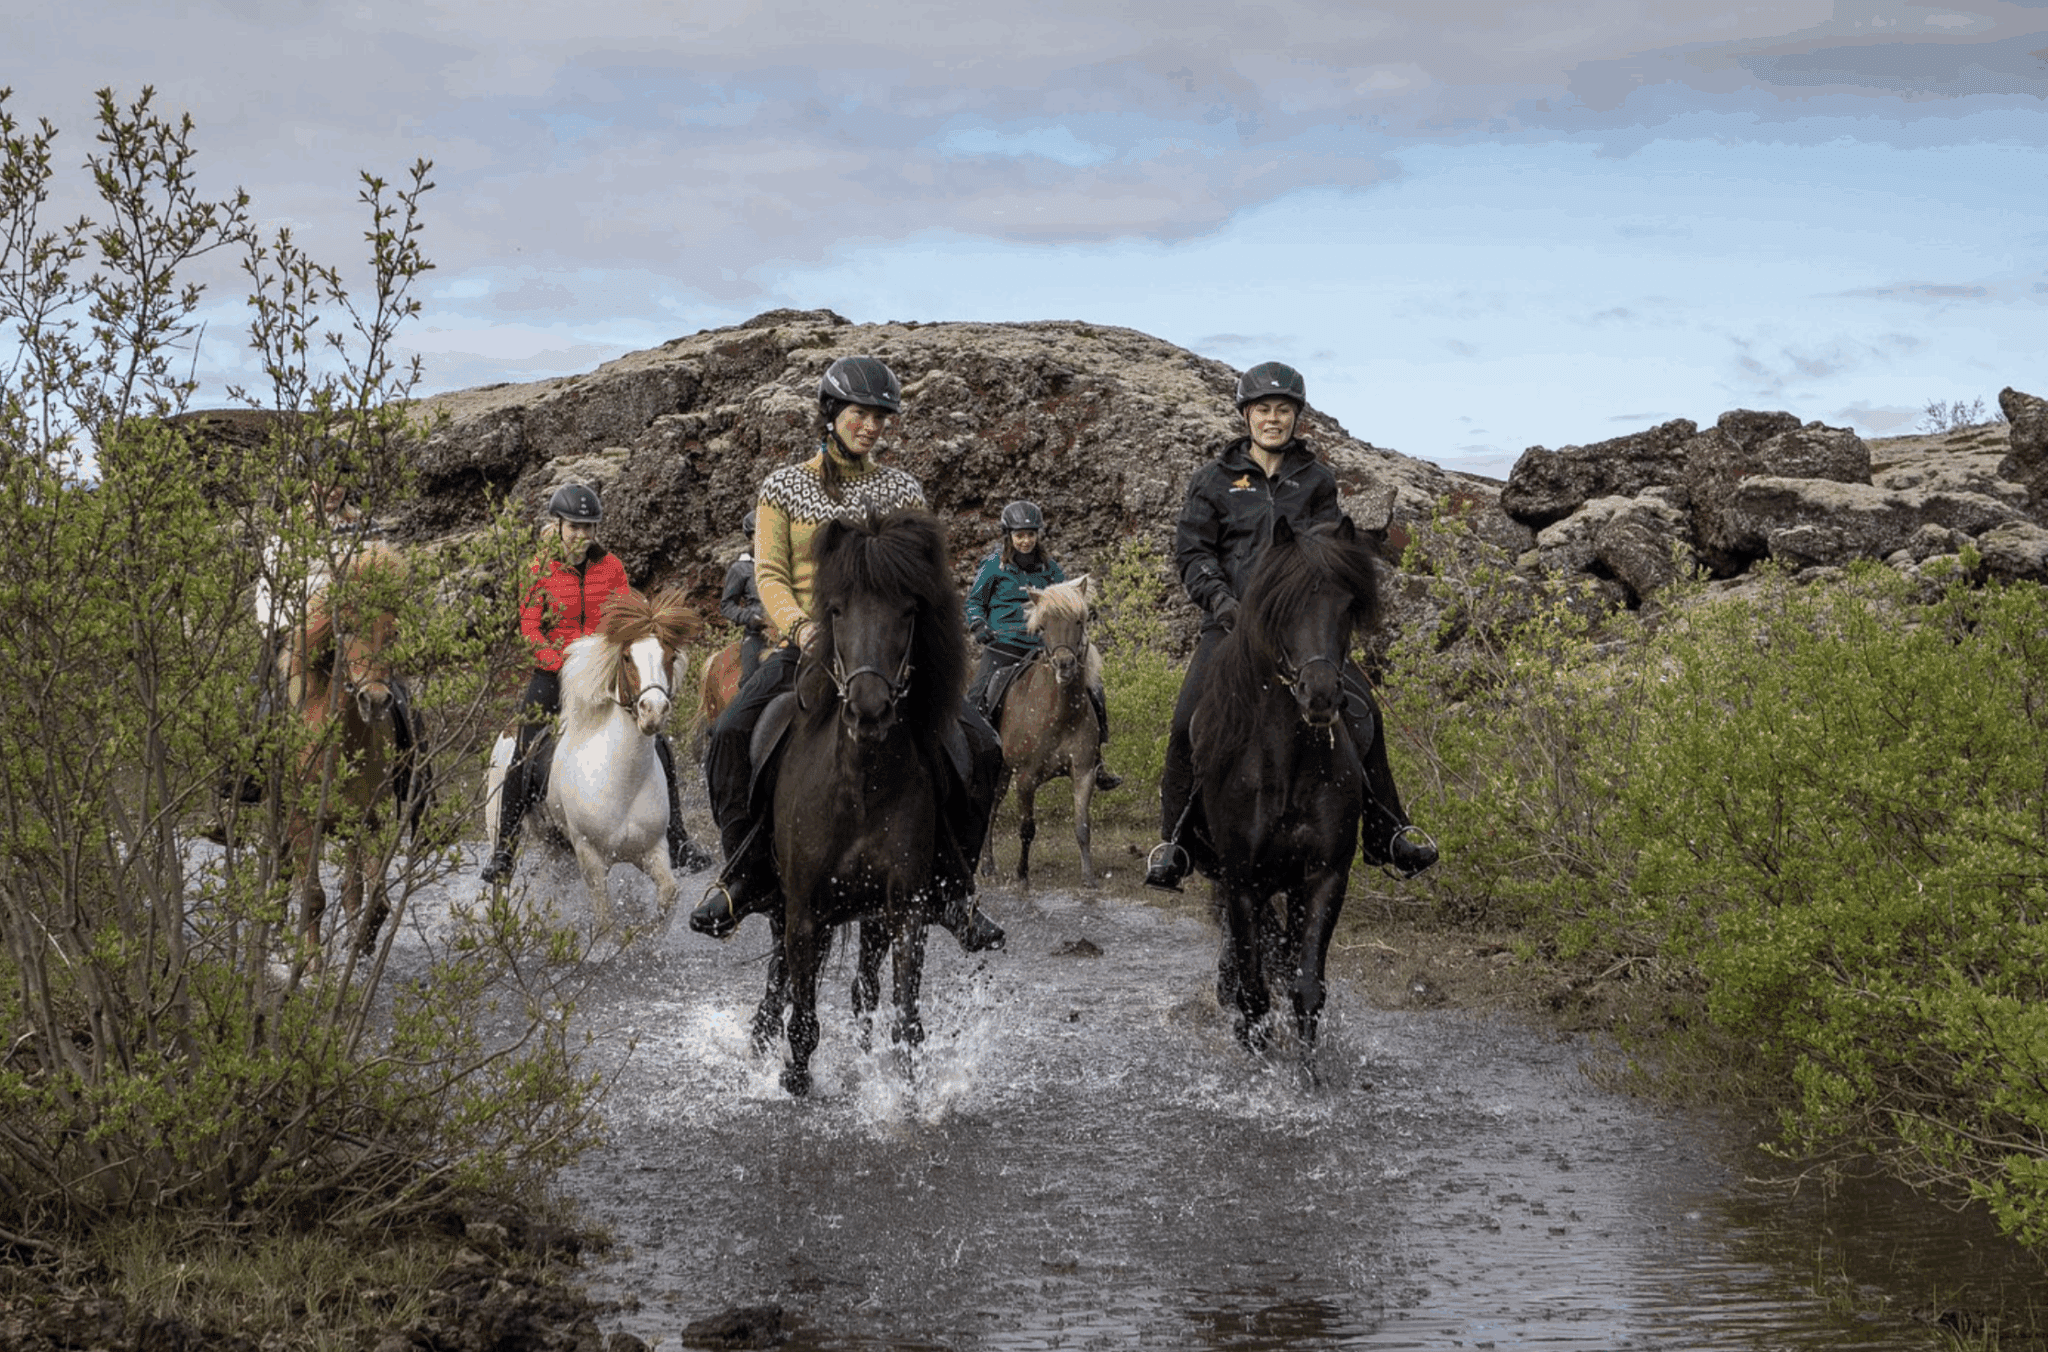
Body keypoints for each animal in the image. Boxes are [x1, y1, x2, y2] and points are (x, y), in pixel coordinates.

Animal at [283, 540, 415, 958]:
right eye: (349, 627)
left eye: (393, 632)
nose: (375, 700)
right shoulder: (303, 822)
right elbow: (312, 897)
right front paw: (309, 962)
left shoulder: (370, 821)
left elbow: (375, 898)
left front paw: (362, 944)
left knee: (352, 886)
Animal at [768, 509, 972, 1097]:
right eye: (836, 610)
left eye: (909, 610)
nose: (869, 711)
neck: (860, 788)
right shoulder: (803, 913)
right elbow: (803, 1021)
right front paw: (793, 1082)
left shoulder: (905, 909)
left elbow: (905, 1019)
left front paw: (902, 1094)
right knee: (778, 984)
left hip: (871, 916)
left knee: (864, 992)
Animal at [981, 575, 1104, 888]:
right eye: (1044, 626)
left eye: (1079, 621)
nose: (1065, 664)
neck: (1059, 714)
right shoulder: (1025, 778)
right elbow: (1027, 828)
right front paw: (1022, 875)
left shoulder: (1084, 772)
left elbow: (1082, 826)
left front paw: (1089, 878)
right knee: (991, 810)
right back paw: (987, 865)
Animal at [1192, 514, 1382, 1070]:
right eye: (1283, 605)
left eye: (1347, 605)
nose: (1319, 695)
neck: (1290, 769)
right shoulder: (1241, 880)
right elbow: (1254, 992)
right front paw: (1259, 1068)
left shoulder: (1323, 877)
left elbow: (1306, 986)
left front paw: (1309, 1076)